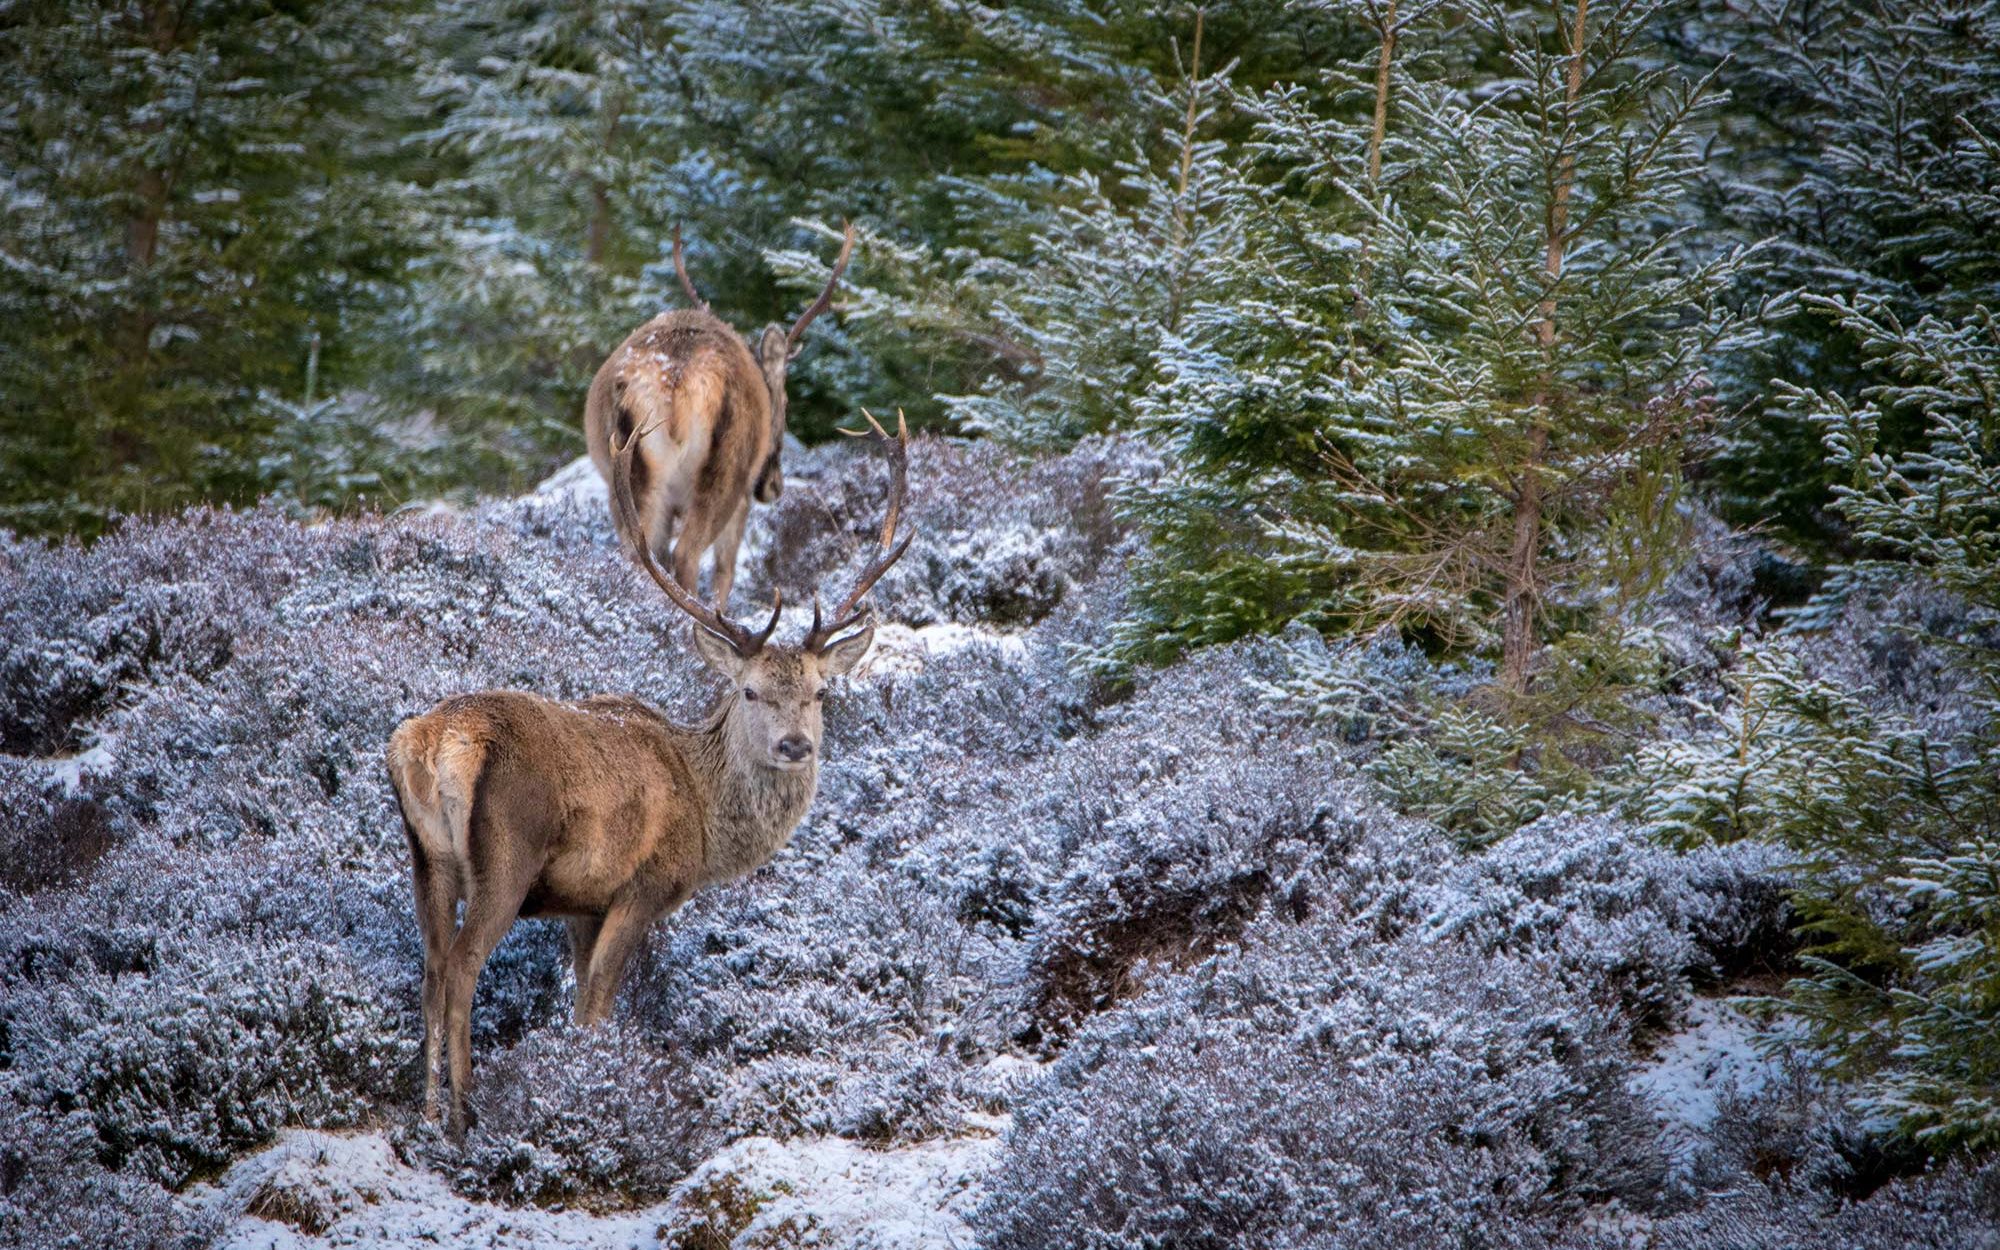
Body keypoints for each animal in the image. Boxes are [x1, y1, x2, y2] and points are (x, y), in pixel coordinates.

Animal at [387, 410, 911, 1136]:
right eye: (749, 691)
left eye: (819, 693)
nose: (795, 745)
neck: (706, 817)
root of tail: (431, 742)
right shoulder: (642, 885)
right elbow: (596, 1005)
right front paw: (589, 1089)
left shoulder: (580, 901)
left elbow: (580, 994)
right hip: (507, 854)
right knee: (462, 968)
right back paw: (467, 1119)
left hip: (426, 858)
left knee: (431, 969)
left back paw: (429, 1113)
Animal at [582, 222, 856, 610]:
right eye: (784, 403)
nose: (773, 486)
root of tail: (675, 379)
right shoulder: (742, 502)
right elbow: (725, 573)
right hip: (728, 469)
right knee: (687, 555)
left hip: (629, 471)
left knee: (642, 555)